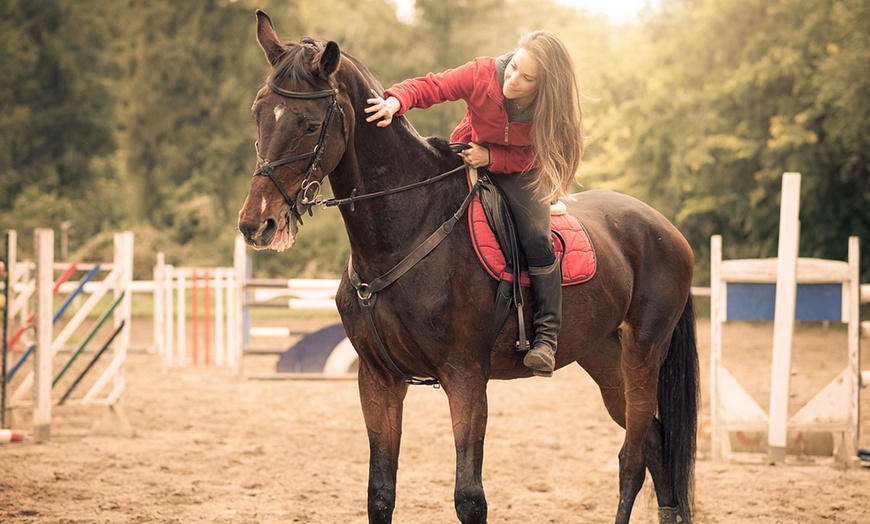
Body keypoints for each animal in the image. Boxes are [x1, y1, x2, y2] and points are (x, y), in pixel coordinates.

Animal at [238, 9, 700, 524]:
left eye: (308, 123)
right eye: (259, 111)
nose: (258, 224)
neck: (407, 229)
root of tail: (665, 229)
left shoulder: (465, 377)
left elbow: (469, 497)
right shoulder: (377, 379)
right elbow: (380, 493)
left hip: (644, 353)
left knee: (633, 459)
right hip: (602, 354)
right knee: (656, 443)